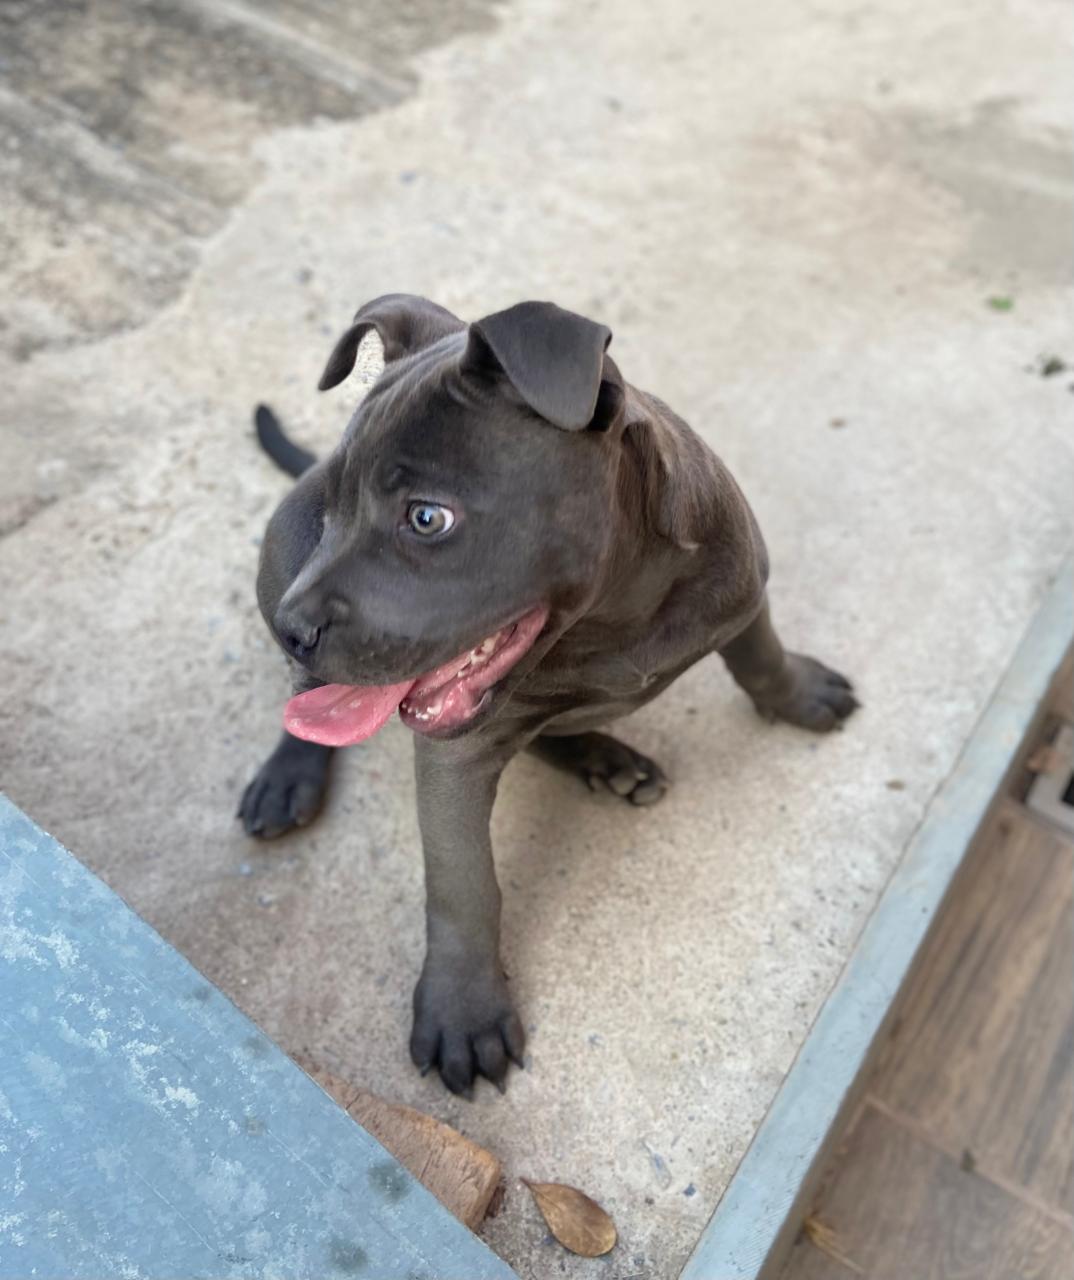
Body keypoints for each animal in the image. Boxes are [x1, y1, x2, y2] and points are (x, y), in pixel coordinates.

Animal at [239, 294, 860, 1095]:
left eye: (427, 517)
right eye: (334, 510)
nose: (292, 627)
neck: (611, 620)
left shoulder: (741, 593)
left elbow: (761, 656)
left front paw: (799, 693)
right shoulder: (456, 759)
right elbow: (464, 884)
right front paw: (464, 1011)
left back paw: (607, 758)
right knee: (308, 710)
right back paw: (289, 775)